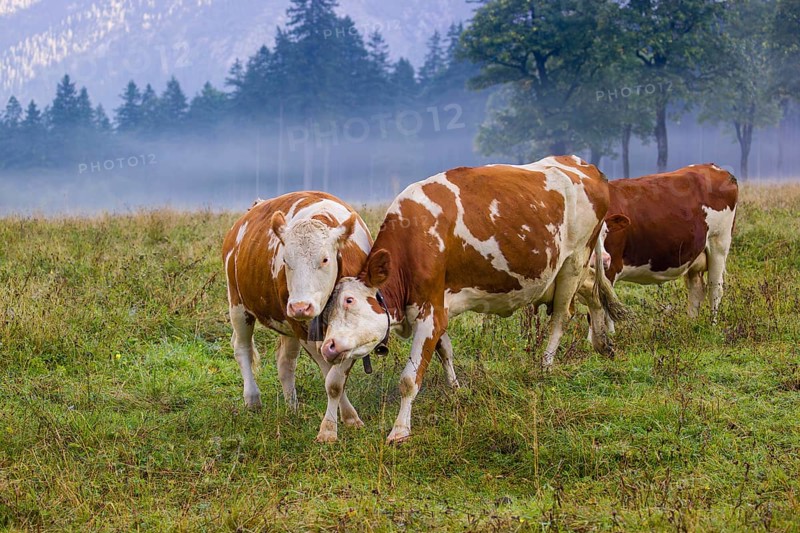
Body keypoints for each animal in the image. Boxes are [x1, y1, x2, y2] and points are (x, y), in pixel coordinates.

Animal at [222, 192, 377, 442]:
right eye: (285, 260)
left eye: (324, 259)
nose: (300, 307)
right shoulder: (302, 330)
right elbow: (330, 379)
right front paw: (334, 425)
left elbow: (337, 379)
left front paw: (349, 419)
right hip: (238, 304)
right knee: (242, 348)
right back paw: (253, 399)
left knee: (285, 362)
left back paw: (292, 406)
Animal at [314, 156, 629, 443]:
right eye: (327, 312)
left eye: (350, 302)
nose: (328, 346)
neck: (414, 244)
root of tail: (582, 164)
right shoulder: (436, 310)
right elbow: (336, 381)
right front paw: (328, 430)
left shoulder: (429, 314)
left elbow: (409, 380)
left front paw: (400, 431)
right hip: (571, 272)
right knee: (594, 292)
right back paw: (602, 342)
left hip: (574, 261)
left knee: (562, 317)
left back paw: (547, 364)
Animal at [591, 163, 738, 335]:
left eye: (604, 232)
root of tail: (714, 167)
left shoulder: (611, 266)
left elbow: (603, 306)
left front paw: (608, 336)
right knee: (696, 289)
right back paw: (692, 325)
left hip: (719, 244)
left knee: (715, 288)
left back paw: (712, 327)